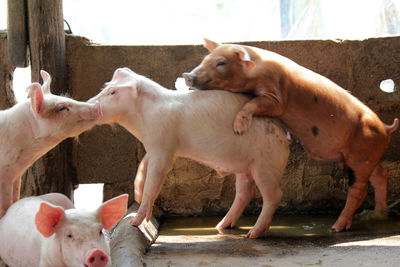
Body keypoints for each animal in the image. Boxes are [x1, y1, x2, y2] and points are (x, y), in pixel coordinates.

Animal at [0, 70, 102, 219]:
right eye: (62, 108)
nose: (97, 105)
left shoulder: (15, 175)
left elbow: (14, 199)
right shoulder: (5, 174)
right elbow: (4, 207)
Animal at [89, 67, 290, 239]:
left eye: (113, 93)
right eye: (105, 88)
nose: (90, 104)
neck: (142, 120)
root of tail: (284, 135)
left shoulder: (164, 145)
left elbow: (154, 182)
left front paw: (134, 223)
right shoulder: (156, 146)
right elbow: (144, 166)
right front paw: (137, 194)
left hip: (266, 164)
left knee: (274, 195)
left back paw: (252, 234)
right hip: (245, 165)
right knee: (245, 192)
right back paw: (222, 225)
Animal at [183, 38, 398, 233]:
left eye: (221, 63)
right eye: (205, 59)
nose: (187, 75)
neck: (256, 71)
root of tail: (386, 128)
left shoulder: (276, 97)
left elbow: (255, 103)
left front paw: (239, 129)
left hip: (359, 157)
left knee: (358, 190)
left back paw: (336, 228)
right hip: (367, 157)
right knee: (380, 174)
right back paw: (379, 214)